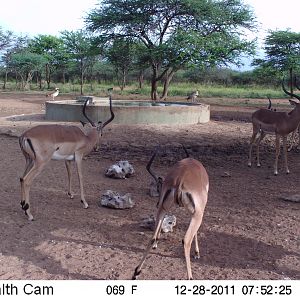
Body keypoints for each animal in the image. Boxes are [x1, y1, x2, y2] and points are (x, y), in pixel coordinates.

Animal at [132, 149, 210, 280]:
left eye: (159, 188)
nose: (157, 203)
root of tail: (180, 180)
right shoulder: (198, 213)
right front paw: (197, 253)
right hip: (198, 215)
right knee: (186, 240)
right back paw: (190, 277)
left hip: (163, 208)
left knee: (152, 238)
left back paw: (136, 272)